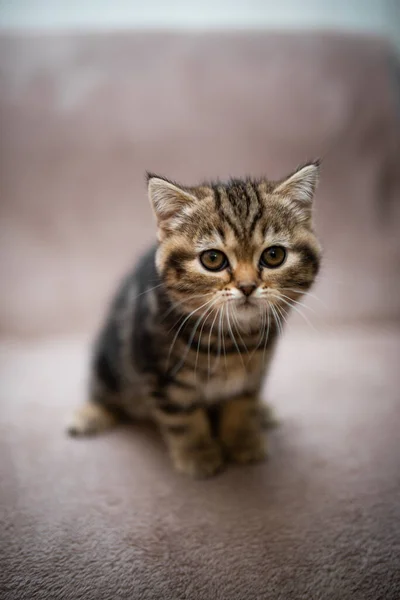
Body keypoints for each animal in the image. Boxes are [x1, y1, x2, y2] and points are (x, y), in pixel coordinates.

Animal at [68, 161, 322, 478]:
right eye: (213, 259)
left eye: (274, 255)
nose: (247, 286)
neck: (233, 340)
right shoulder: (163, 377)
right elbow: (183, 418)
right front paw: (198, 453)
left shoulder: (255, 371)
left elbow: (242, 403)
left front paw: (243, 439)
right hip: (110, 360)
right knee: (104, 390)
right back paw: (89, 414)